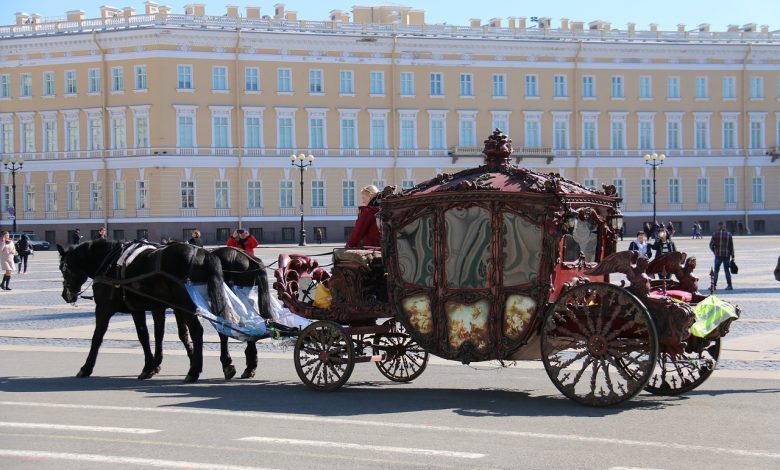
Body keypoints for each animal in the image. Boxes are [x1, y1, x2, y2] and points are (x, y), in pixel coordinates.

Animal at [56, 239, 227, 382]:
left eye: (63, 269)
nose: (65, 295)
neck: (109, 264)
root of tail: (204, 254)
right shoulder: (150, 308)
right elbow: (154, 335)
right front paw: (153, 366)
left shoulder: (107, 308)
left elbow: (100, 336)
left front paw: (86, 368)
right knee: (222, 327)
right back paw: (225, 365)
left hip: (186, 305)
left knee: (197, 331)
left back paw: (194, 371)